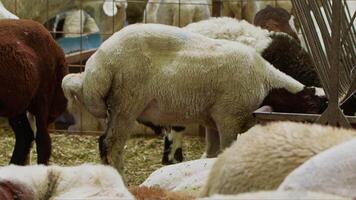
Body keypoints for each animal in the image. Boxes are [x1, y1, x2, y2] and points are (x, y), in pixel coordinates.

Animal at [62, 23, 326, 177]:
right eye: (312, 106)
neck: (266, 82)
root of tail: (98, 63)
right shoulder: (228, 117)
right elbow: (225, 150)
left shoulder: (212, 120)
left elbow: (212, 153)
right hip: (127, 103)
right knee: (112, 144)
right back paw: (121, 179)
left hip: (117, 105)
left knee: (103, 142)